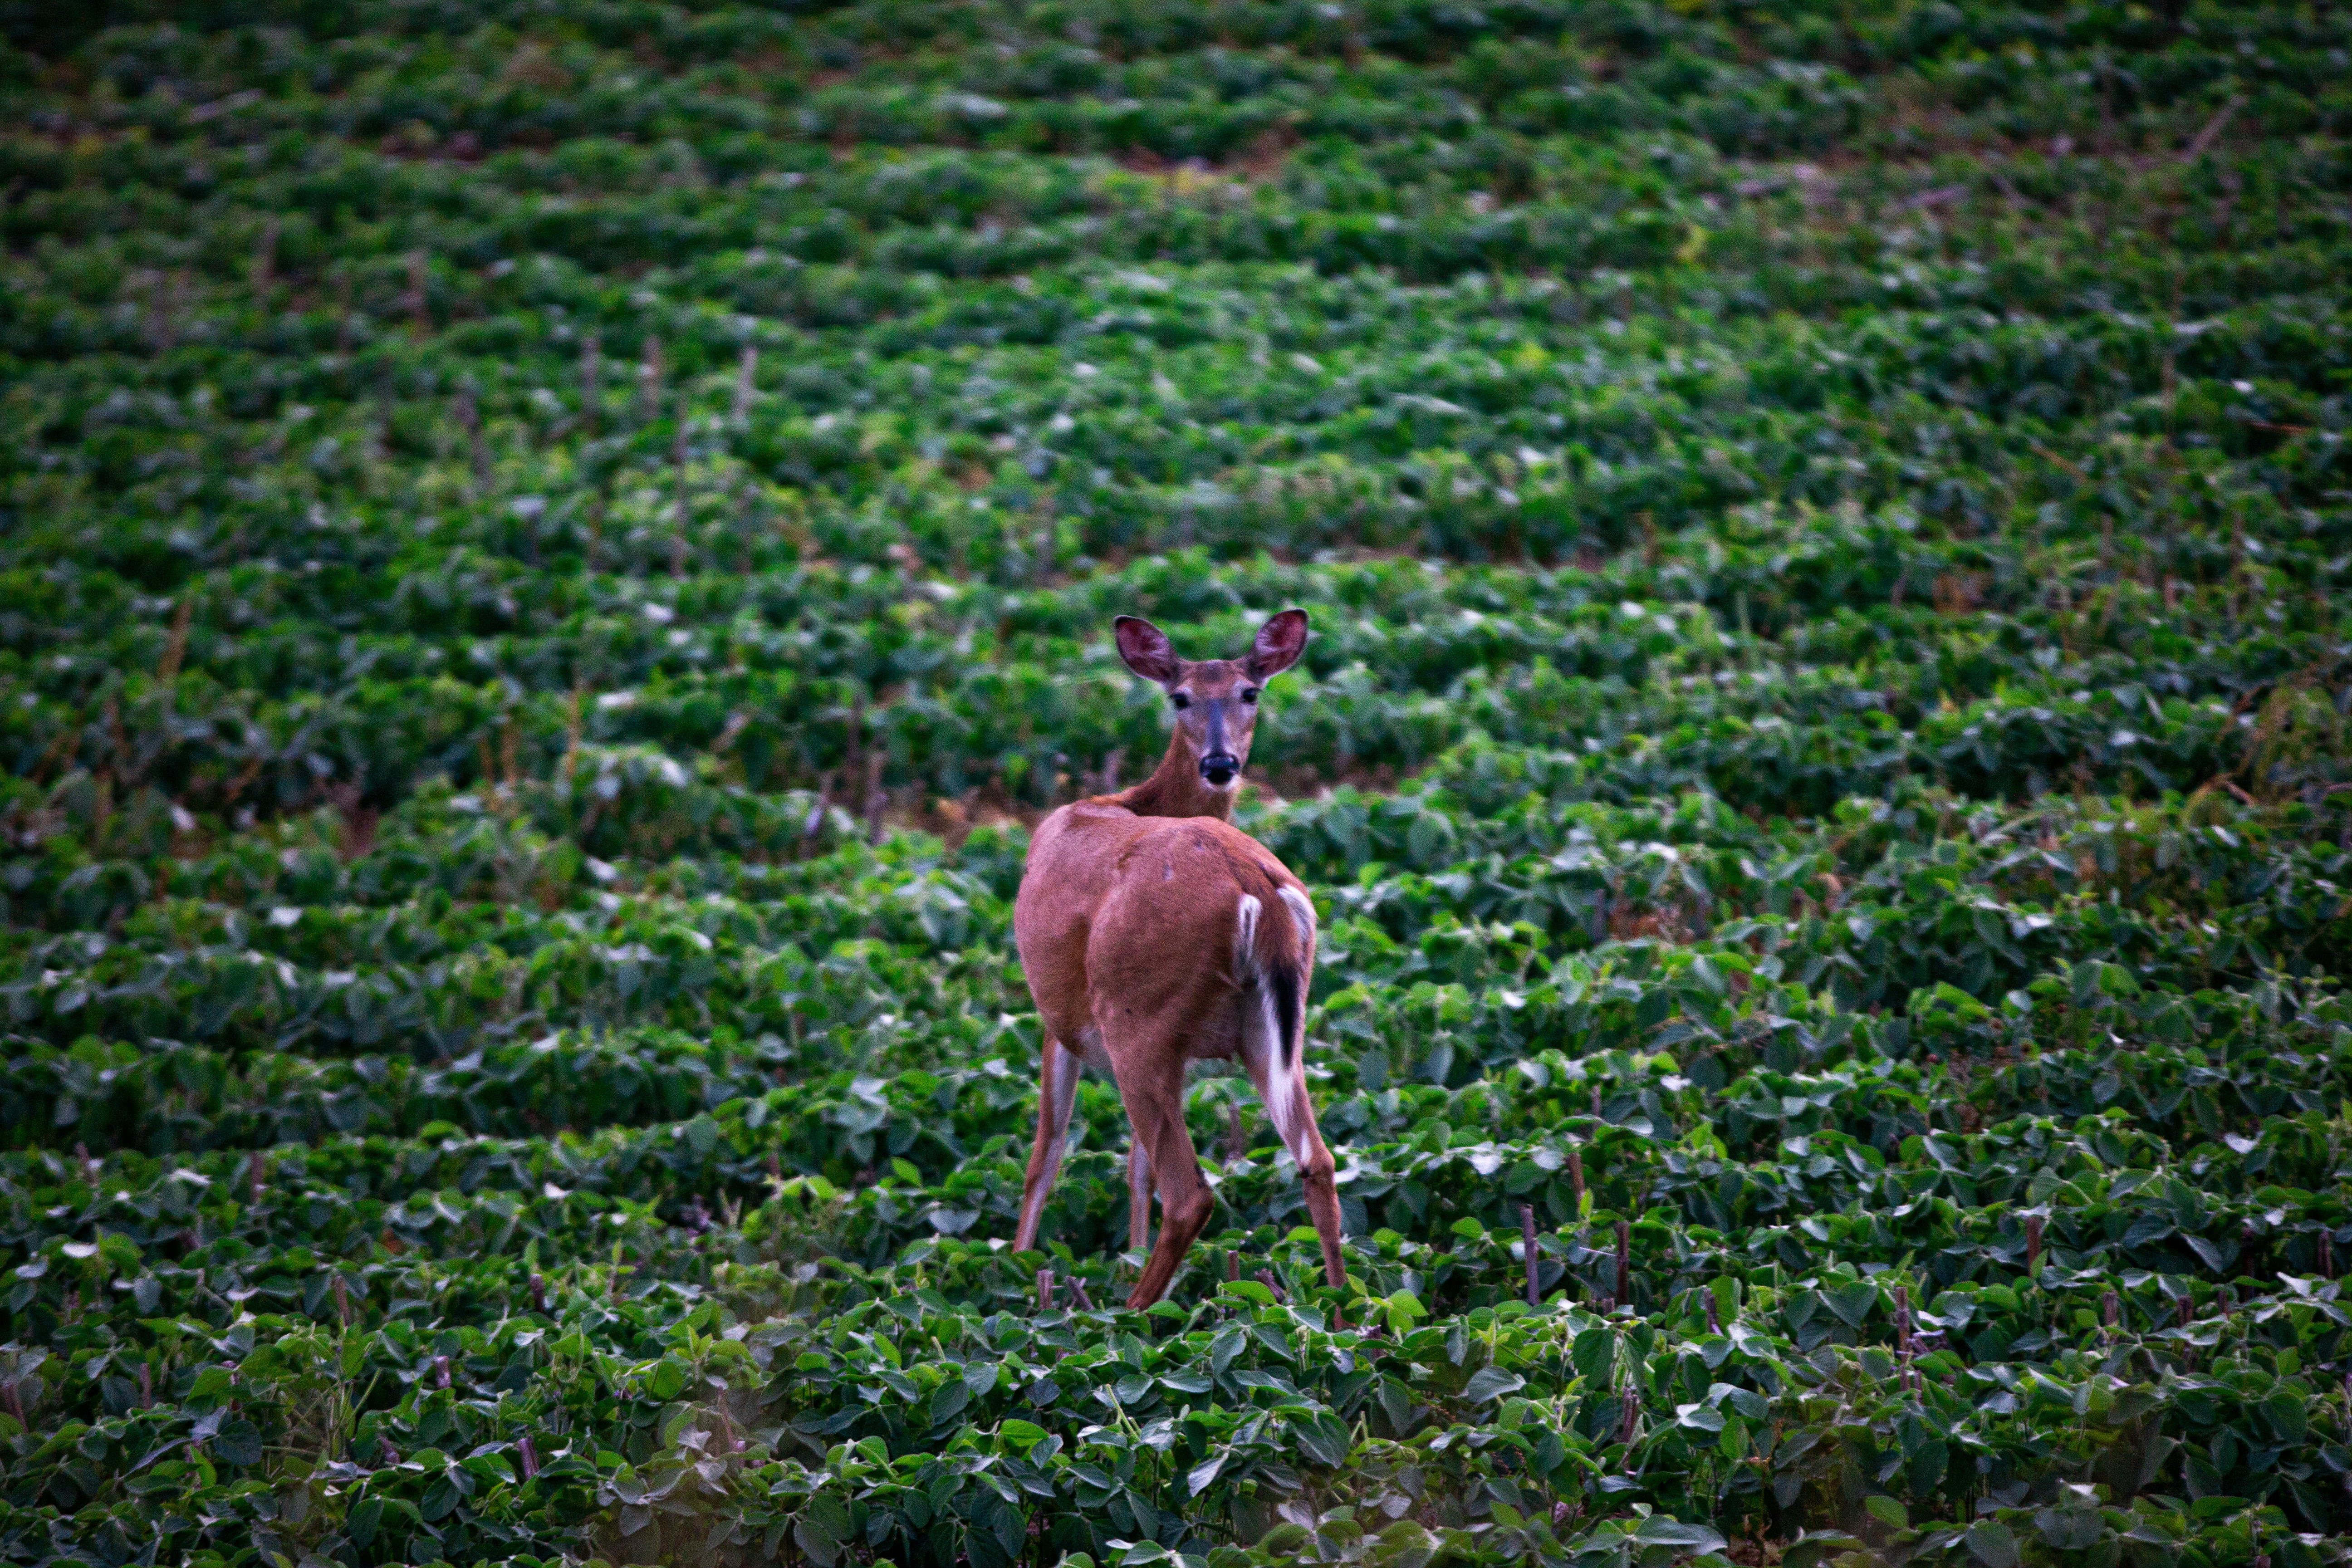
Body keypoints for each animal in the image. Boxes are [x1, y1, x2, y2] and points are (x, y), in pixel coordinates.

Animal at [1006, 611, 1354, 1316]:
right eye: (1181, 698)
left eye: (1251, 692)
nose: (1220, 763)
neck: (1131, 800)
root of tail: (1255, 888)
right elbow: (1131, 1166)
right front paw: (1122, 1251)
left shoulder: (1061, 1017)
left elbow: (1046, 1155)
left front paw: (1020, 1265)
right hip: (1269, 1032)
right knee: (1318, 1159)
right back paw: (1343, 1315)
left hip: (1137, 1018)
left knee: (1190, 1193)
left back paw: (1127, 1316)